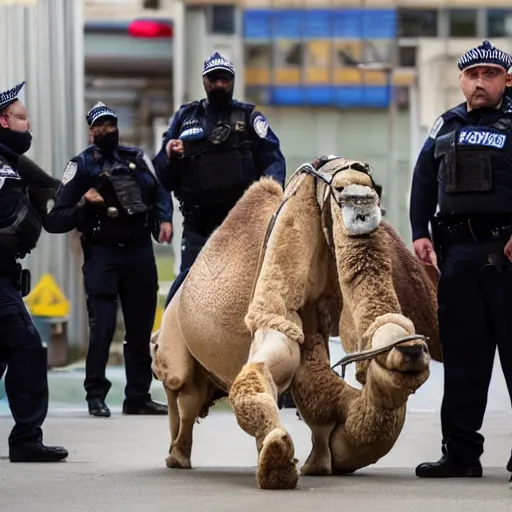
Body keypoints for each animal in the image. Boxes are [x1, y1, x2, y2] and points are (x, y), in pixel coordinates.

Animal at [151, 157, 440, 492]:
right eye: (339, 191)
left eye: (371, 186)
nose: (412, 352)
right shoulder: (277, 308)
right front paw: (280, 462)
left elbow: (320, 401)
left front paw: (309, 463)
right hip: (173, 345)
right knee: (182, 394)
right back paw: (177, 459)